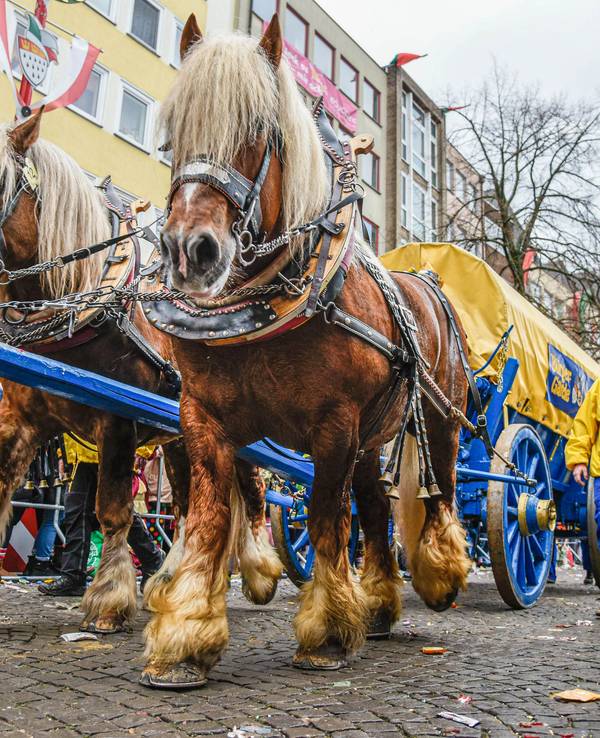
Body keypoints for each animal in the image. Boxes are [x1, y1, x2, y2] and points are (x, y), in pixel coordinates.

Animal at [0, 111, 282, 636]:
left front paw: (108, 600)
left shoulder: (116, 421)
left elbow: (111, 510)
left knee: (253, 493)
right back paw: (173, 580)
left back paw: (259, 571)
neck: (78, 293)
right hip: (180, 441)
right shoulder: (20, 419)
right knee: (191, 506)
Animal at [139, 14, 472, 689]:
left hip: (440, 419)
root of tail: (427, 283)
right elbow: (209, 518)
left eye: (259, 130)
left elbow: (322, 517)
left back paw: (439, 577)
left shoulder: (333, 424)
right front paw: (183, 637)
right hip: (375, 437)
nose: (190, 251)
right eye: (174, 133)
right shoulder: (201, 418)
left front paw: (328, 632)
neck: (266, 304)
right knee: (373, 507)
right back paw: (378, 605)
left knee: (441, 490)